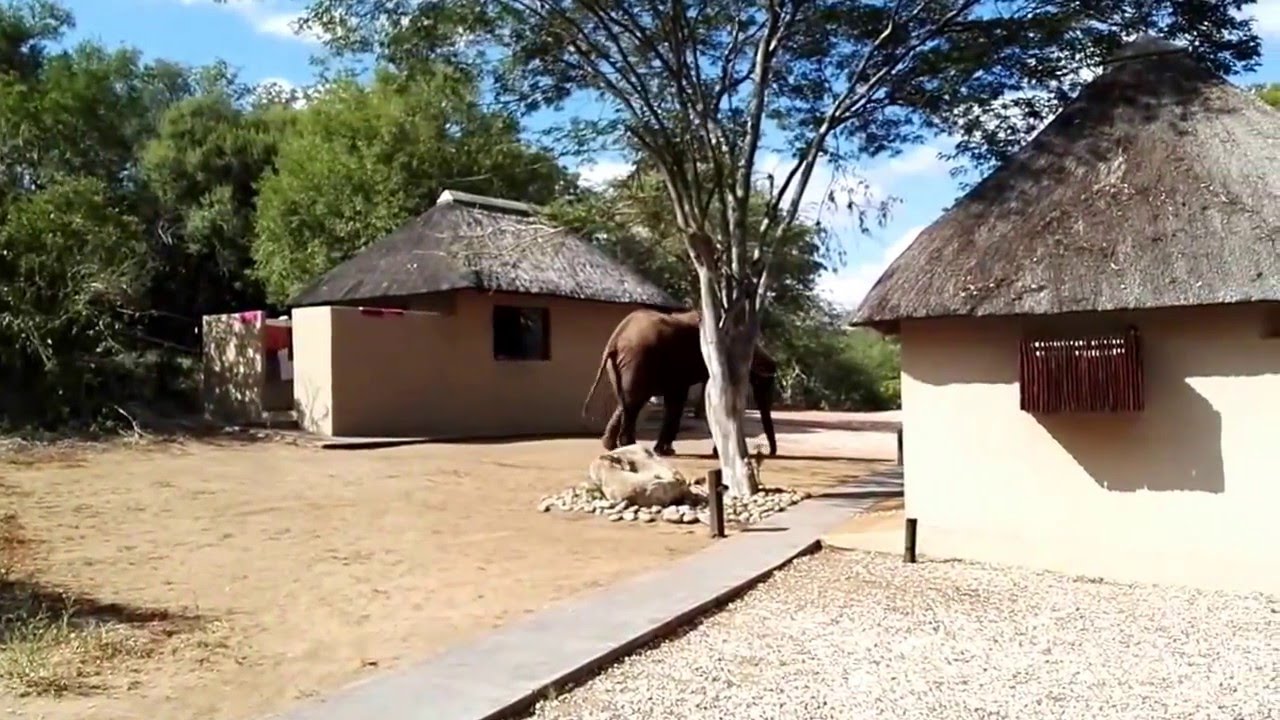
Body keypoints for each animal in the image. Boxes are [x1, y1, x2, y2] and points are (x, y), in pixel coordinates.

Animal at [581, 308, 778, 458]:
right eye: (760, 382)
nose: (769, 453)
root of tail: (616, 338)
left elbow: (677, 397)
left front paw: (664, 450)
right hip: (639, 359)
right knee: (634, 402)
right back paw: (630, 447)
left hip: (623, 365)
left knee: (626, 400)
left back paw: (612, 446)